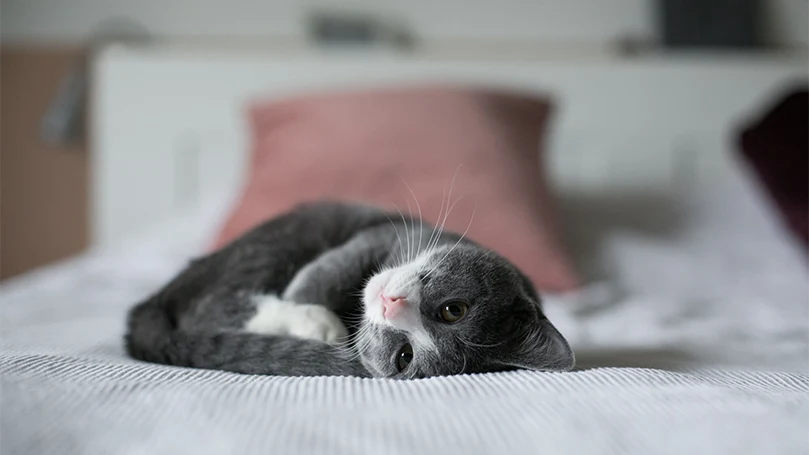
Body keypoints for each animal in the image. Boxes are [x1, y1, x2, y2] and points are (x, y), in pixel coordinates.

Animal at [124, 201, 576, 380]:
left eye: (404, 355)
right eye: (454, 309)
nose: (391, 304)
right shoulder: (378, 236)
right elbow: (325, 274)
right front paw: (314, 314)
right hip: (279, 241)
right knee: (207, 306)